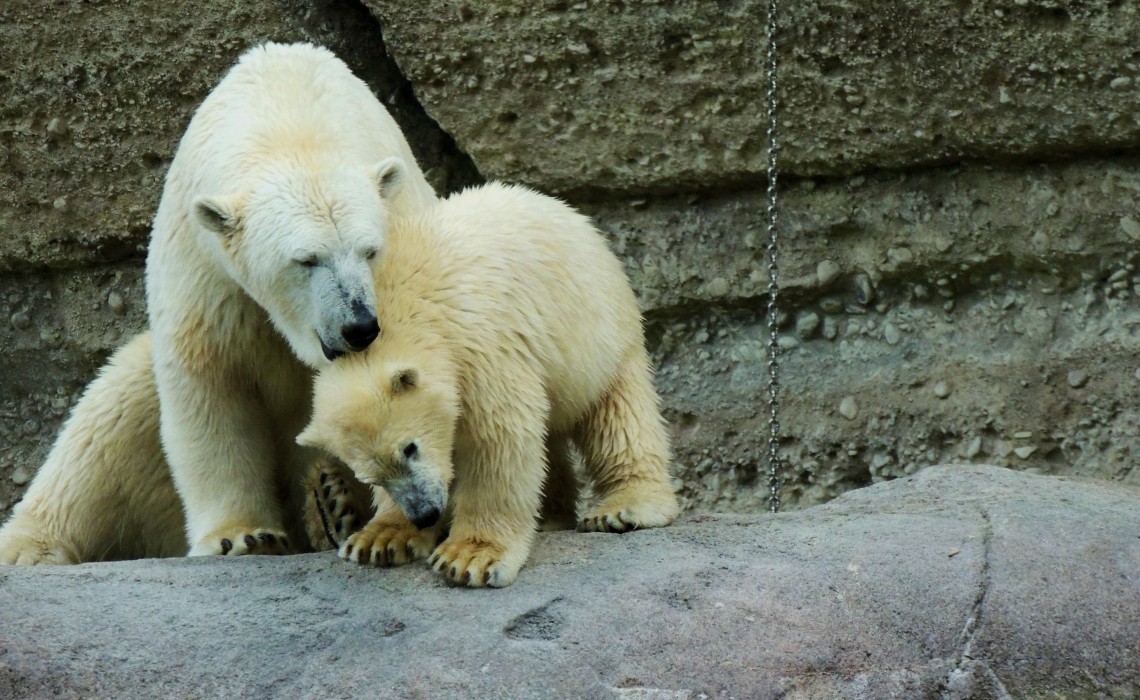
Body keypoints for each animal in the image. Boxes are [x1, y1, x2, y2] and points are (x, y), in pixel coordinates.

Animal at [0, 41, 435, 563]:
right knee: (108, 421)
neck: (290, 115)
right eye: (306, 259)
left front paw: (391, 532)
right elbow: (210, 383)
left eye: (370, 250)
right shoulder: (207, 269)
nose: (359, 327)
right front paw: (243, 535)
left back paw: (333, 505)